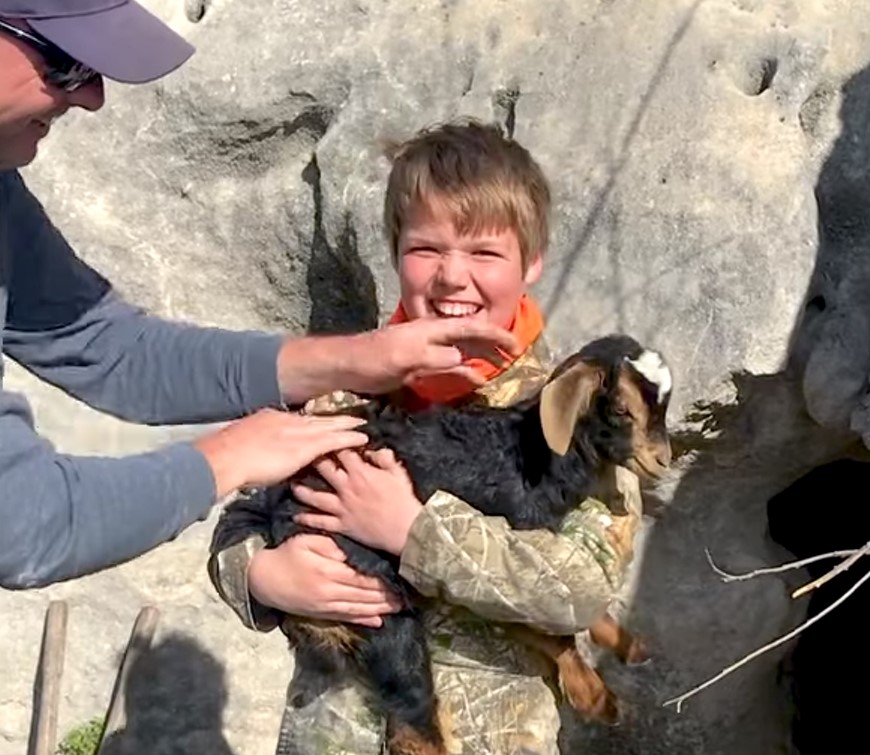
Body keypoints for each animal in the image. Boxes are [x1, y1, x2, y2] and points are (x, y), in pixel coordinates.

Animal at [209, 336, 676, 755]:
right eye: (621, 409)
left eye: (663, 407)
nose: (663, 460)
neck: (533, 453)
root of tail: (278, 519)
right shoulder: (489, 582)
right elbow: (550, 632)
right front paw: (598, 700)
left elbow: (578, 600)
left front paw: (630, 646)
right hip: (379, 609)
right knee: (412, 721)